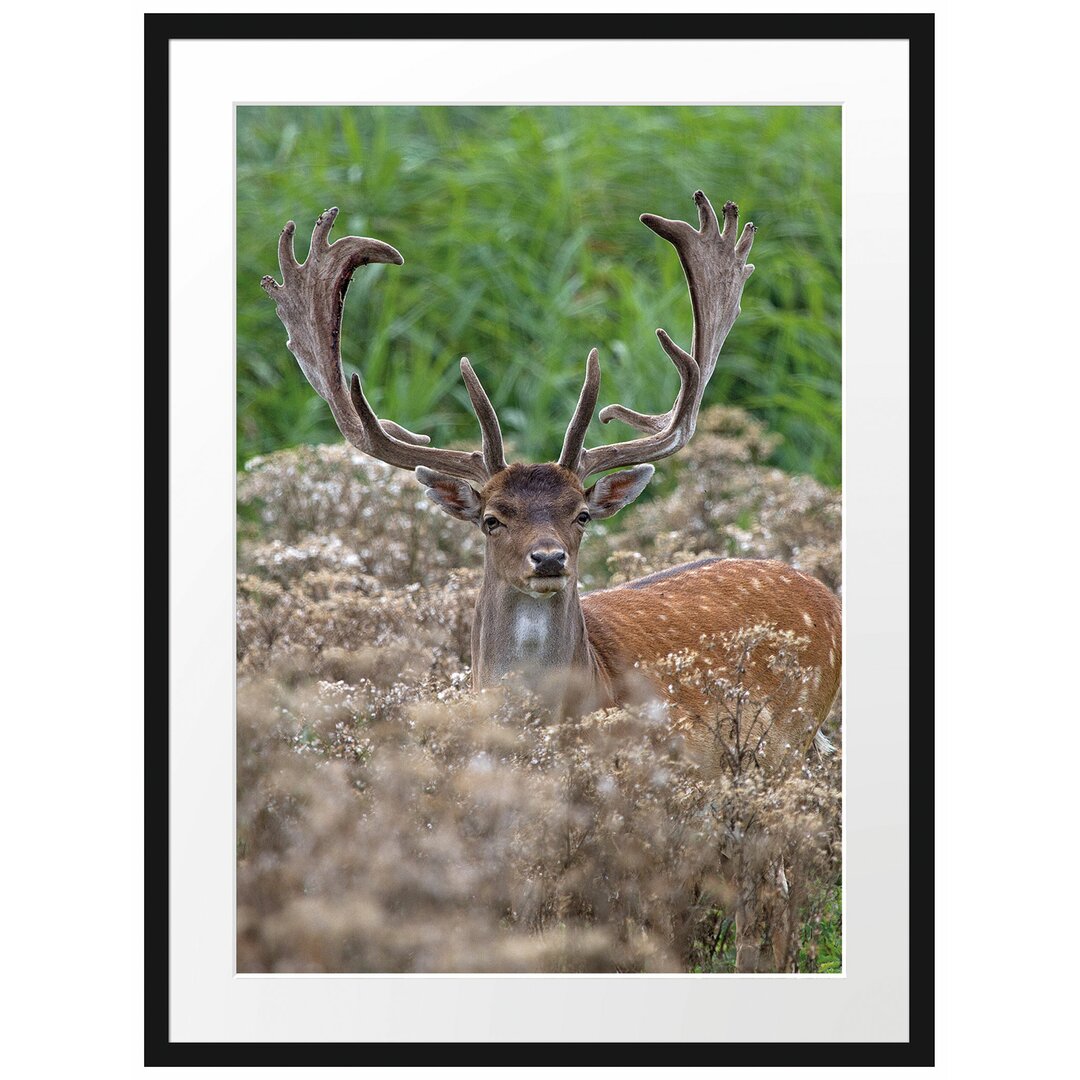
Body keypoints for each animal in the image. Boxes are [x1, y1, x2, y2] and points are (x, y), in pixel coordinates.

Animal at [261, 185, 842, 972]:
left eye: (581, 515)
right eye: (492, 518)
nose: (548, 559)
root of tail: (824, 592)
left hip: (781, 753)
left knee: (778, 892)